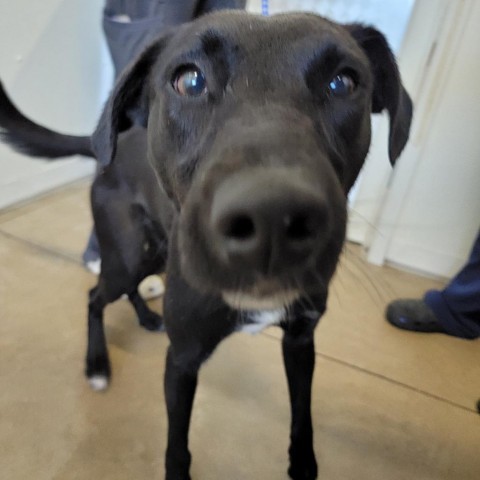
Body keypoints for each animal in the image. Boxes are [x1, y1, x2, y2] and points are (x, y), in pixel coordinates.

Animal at [0, 10, 412, 476]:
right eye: (189, 81)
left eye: (343, 82)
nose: (272, 218)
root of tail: (109, 145)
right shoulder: (182, 360)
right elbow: (177, 446)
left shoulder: (300, 341)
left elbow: (302, 416)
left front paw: (304, 465)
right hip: (126, 253)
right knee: (95, 296)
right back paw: (97, 364)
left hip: (154, 252)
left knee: (126, 289)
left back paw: (146, 318)